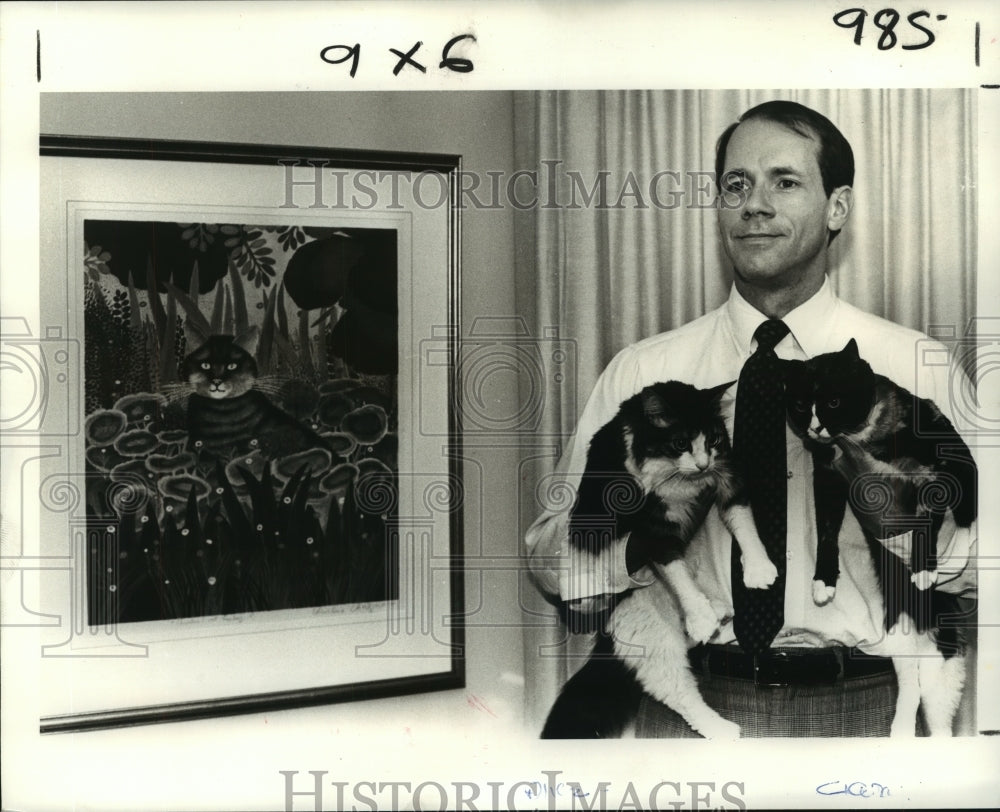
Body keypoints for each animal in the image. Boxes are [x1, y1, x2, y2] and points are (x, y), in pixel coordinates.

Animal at [540, 378, 780, 740]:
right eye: (680, 442)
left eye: (714, 439)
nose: (702, 464)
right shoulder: (651, 527)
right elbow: (674, 570)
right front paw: (699, 614)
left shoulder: (727, 474)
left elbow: (743, 522)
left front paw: (758, 569)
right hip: (650, 633)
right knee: (678, 692)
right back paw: (721, 725)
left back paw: (717, 611)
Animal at [780, 336, 976, 736]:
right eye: (801, 405)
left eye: (833, 402)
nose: (816, 428)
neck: (862, 438)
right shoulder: (829, 476)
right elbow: (826, 531)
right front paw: (823, 582)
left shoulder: (933, 468)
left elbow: (931, 522)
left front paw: (927, 567)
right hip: (897, 628)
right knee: (911, 686)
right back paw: (899, 730)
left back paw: (953, 557)